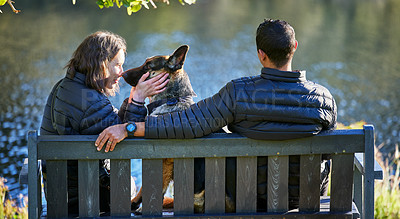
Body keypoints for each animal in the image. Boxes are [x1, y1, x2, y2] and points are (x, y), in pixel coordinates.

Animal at [122, 45, 234, 214]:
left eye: (148, 66)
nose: (122, 74)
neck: (171, 100)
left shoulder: (164, 162)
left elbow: (147, 187)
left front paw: (135, 204)